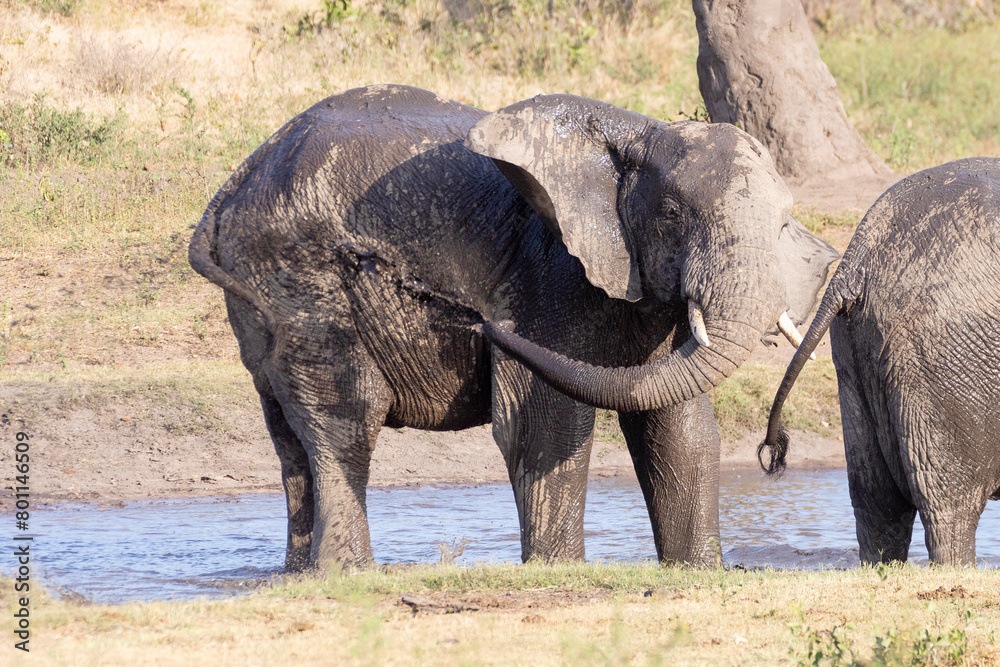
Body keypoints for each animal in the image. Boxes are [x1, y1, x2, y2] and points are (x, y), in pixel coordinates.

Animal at [189, 84, 837, 570]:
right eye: (674, 214)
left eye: (785, 225)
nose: (477, 321)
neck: (641, 132)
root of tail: (234, 183)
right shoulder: (548, 272)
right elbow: (547, 424)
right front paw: (558, 572)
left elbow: (679, 428)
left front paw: (698, 573)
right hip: (298, 273)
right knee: (346, 414)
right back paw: (349, 575)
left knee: (289, 436)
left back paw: (300, 575)